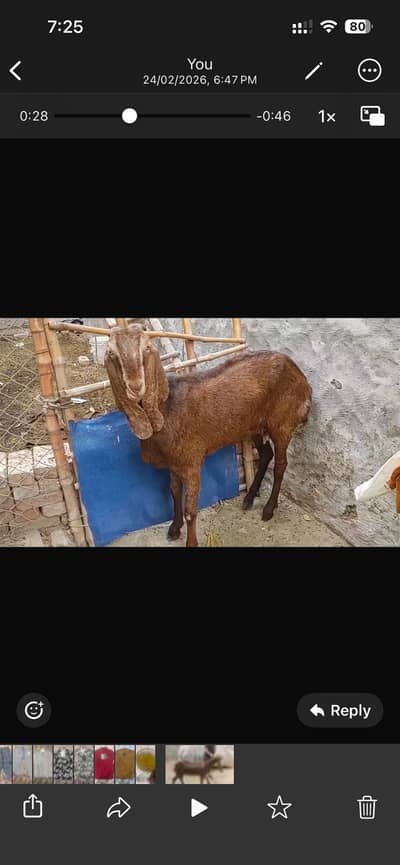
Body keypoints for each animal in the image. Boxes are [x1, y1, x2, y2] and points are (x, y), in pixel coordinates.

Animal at [105, 325, 312, 548]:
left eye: (147, 348)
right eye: (111, 353)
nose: (136, 387)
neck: (168, 409)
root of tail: (303, 380)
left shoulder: (192, 462)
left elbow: (190, 510)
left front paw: (191, 542)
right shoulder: (174, 463)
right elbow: (174, 493)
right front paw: (174, 529)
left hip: (282, 424)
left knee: (281, 464)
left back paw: (268, 509)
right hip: (254, 425)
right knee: (266, 454)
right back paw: (249, 498)